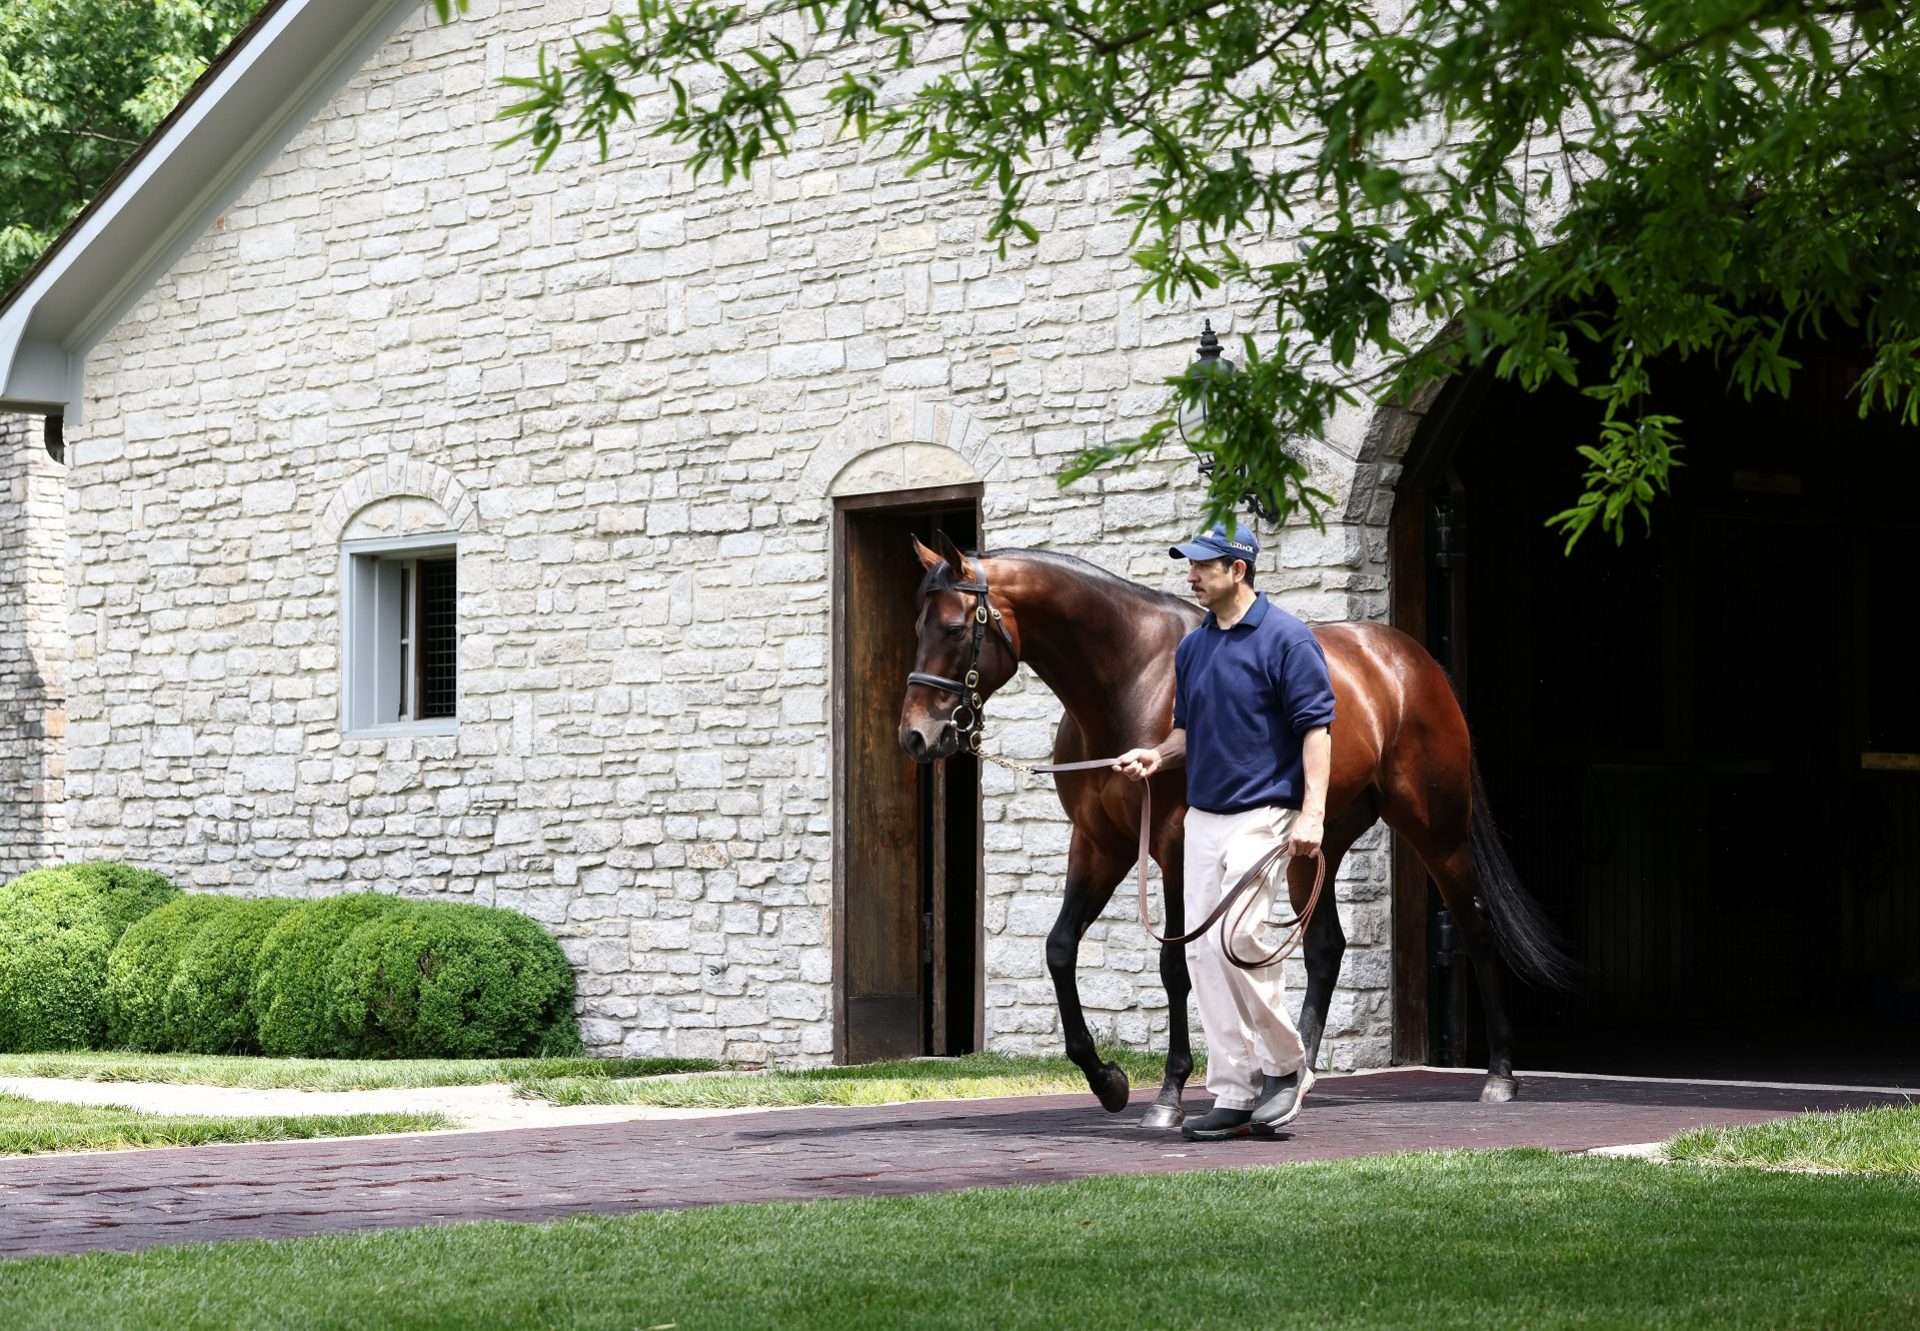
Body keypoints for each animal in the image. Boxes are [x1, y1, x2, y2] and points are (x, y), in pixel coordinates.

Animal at [894, 530, 1559, 1121]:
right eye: (918, 628)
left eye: (955, 629)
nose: (917, 737)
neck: (1134, 676)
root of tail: (1413, 665)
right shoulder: (1099, 843)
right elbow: (1060, 949)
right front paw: (1107, 1081)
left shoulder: (1171, 845)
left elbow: (1174, 965)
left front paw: (1166, 1095)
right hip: (1313, 845)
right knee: (1325, 947)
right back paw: (1296, 1078)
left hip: (1435, 830)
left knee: (1473, 925)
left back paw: (1500, 1076)